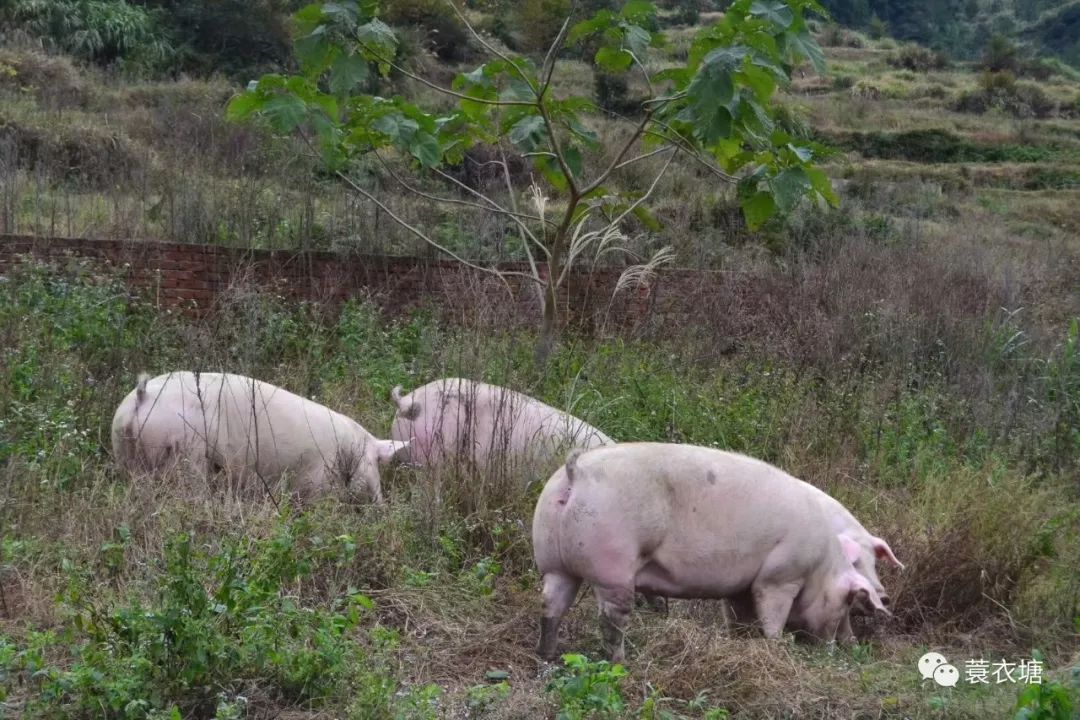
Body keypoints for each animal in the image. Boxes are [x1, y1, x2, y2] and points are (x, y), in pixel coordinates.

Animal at [112, 375, 408, 505]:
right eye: (377, 462)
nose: (381, 505)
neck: (350, 450)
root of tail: (142, 396)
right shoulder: (317, 477)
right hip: (184, 454)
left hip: (126, 455)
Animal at [531, 444, 885, 664]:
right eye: (846, 601)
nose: (832, 651)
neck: (821, 564)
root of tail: (576, 472)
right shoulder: (779, 577)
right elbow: (773, 617)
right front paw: (775, 647)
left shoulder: (741, 587)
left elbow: (740, 617)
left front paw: (741, 642)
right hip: (612, 566)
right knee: (611, 619)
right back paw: (621, 661)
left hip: (553, 560)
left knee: (550, 605)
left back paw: (547, 656)